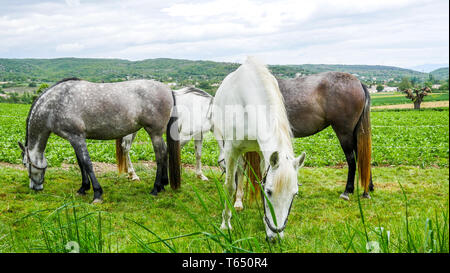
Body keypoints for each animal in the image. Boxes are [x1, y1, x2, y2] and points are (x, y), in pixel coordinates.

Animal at [17, 77, 180, 201]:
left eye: (25, 164)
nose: (34, 188)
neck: (54, 104)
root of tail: (168, 89)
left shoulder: (77, 137)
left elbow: (87, 163)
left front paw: (97, 193)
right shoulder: (74, 139)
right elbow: (80, 163)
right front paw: (83, 188)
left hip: (155, 133)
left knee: (160, 156)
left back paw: (155, 188)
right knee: (165, 153)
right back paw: (163, 184)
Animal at [212, 55, 306, 240]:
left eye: (295, 194)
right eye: (269, 192)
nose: (275, 238)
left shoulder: (264, 154)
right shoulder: (231, 150)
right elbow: (229, 186)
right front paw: (226, 224)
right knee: (239, 171)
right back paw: (237, 203)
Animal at [236, 71, 372, 209]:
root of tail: (358, 83)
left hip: (344, 134)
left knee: (352, 160)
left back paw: (347, 191)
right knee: (362, 157)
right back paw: (367, 189)